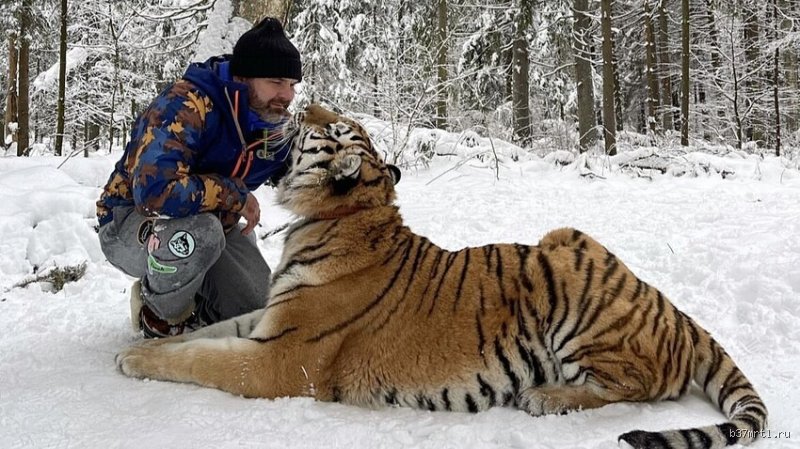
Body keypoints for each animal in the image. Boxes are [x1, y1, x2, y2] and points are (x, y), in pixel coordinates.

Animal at [116, 104, 768, 449]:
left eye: (334, 130)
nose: (306, 105)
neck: (338, 215)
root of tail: (675, 312)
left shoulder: (281, 359)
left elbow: (203, 360)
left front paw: (134, 360)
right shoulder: (270, 319)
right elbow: (206, 333)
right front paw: (146, 342)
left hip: (576, 295)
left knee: (631, 388)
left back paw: (544, 397)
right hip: (568, 236)